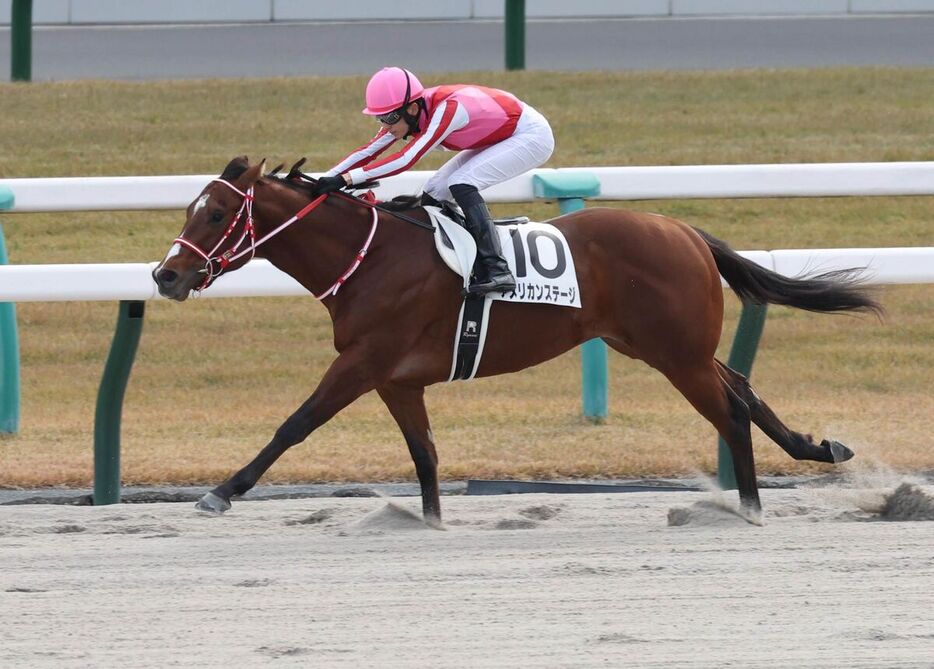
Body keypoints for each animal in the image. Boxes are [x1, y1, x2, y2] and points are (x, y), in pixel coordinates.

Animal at [154, 155, 884, 520]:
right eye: (191, 209)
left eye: (216, 214)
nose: (166, 274)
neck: (369, 256)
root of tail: (685, 231)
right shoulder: (396, 378)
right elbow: (424, 454)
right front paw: (430, 518)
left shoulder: (363, 362)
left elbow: (294, 424)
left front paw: (223, 490)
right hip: (670, 347)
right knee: (744, 387)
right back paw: (818, 447)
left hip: (675, 353)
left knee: (730, 410)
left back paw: (751, 507)